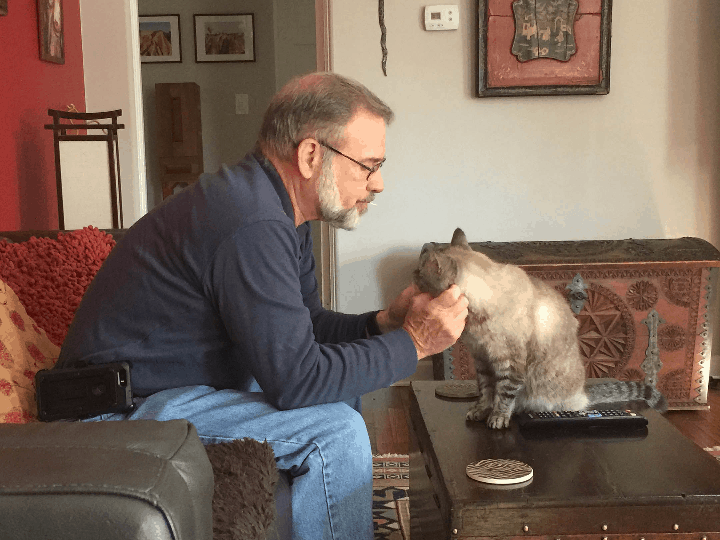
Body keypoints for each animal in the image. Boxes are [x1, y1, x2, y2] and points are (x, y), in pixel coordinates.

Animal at [416, 226, 668, 428]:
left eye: (418, 273)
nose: (412, 276)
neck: (476, 321)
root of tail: (583, 393)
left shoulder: (509, 362)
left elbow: (504, 394)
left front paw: (497, 418)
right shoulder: (482, 359)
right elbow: (486, 391)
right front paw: (480, 412)